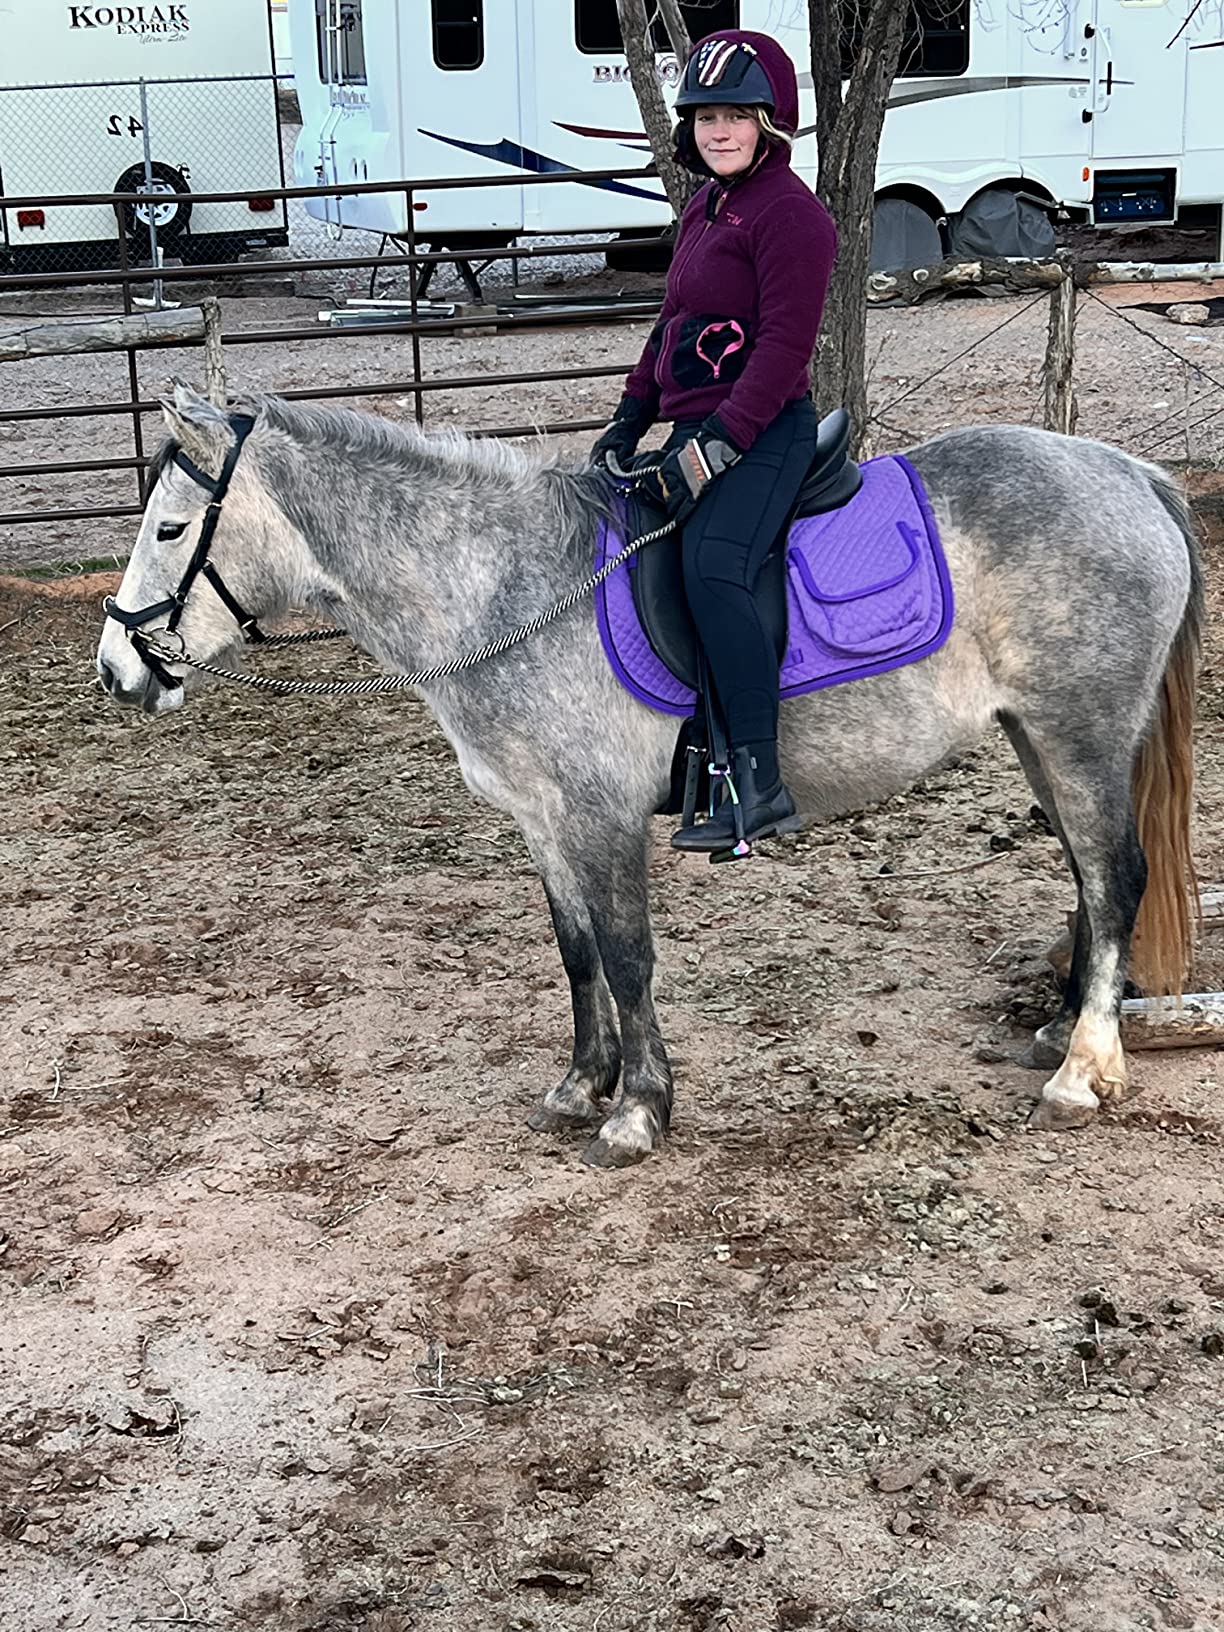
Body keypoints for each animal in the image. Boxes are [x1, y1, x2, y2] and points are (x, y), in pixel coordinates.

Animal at [95, 385, 1201, 1168]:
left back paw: (1082, 1074)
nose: (115, 673)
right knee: (1086, 878)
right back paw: (1061, 1030)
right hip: (1035, 738)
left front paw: (636, 1112)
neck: (505, 588)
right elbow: (577, 954)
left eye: (168, 529)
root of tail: (1132, 474)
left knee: (1115, 877)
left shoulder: (601, 816)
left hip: (1080, 732)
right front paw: (581, 1085)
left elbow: (629, 958)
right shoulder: (544, 820)